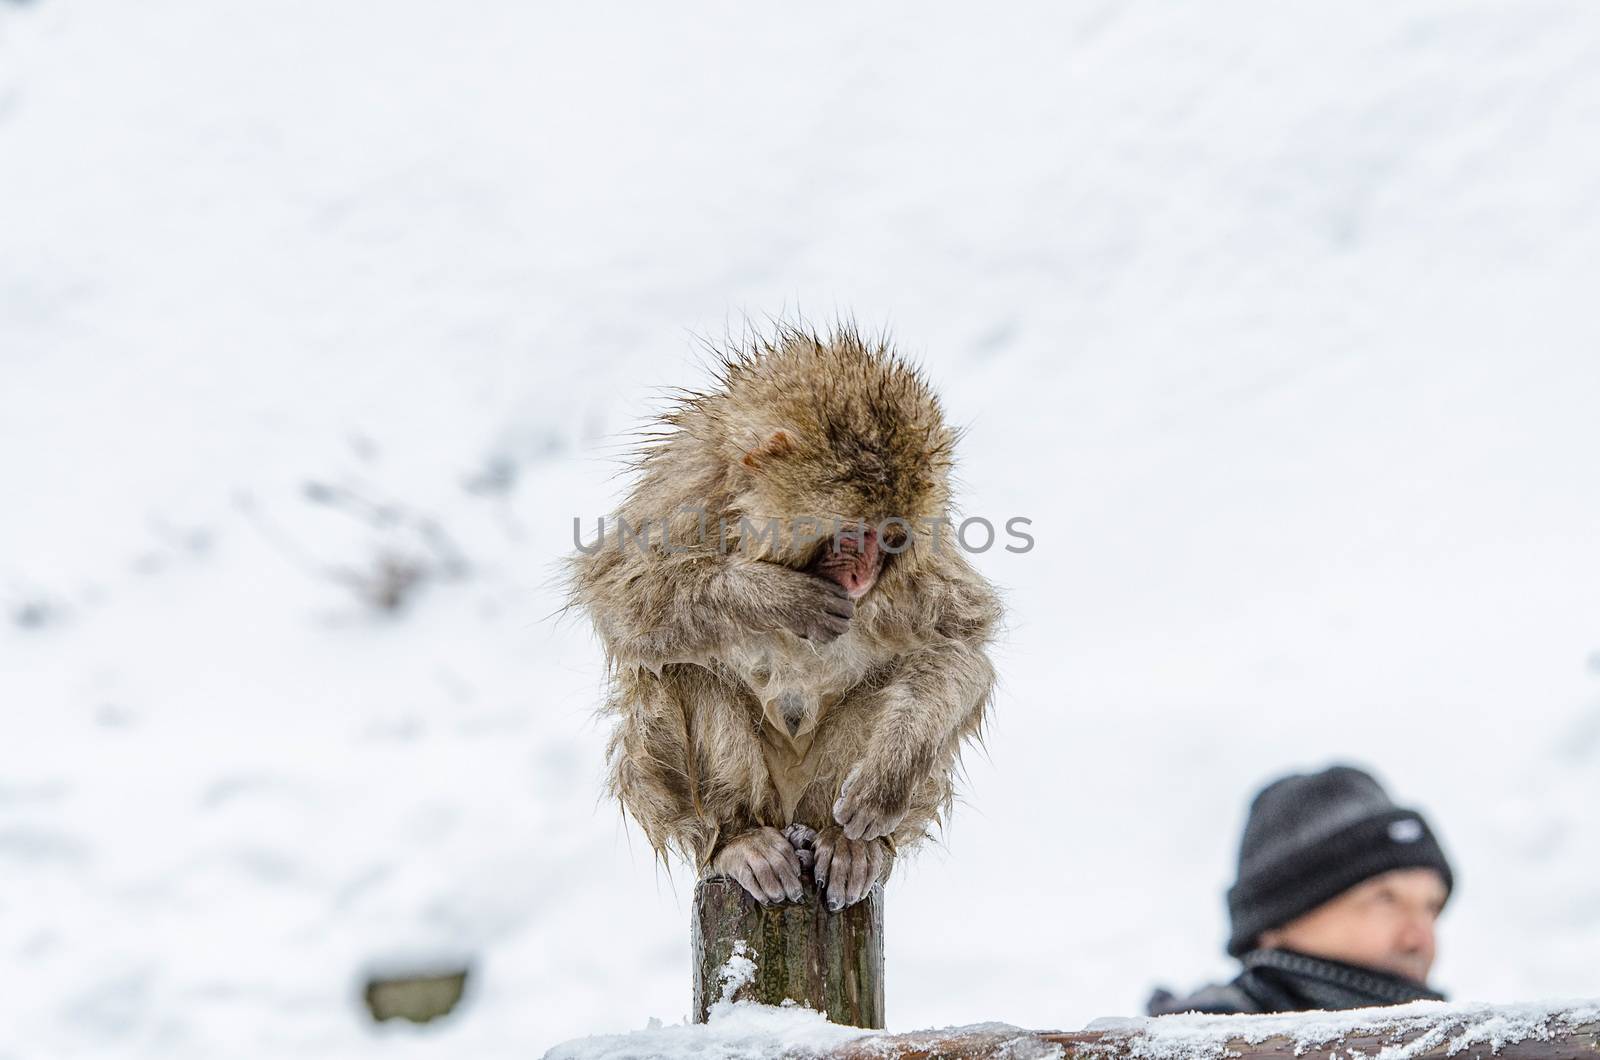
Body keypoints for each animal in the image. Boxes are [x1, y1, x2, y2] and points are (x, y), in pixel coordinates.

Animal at [572, 323, 998, 915]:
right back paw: (738, 838)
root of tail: (792, 813)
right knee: (680, 667)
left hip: (819, 793)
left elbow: (961, 645)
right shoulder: (688, 492)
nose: (863, 576)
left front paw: (889, 774)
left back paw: (847, 845)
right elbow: (621, 592)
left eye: (891, 538)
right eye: (854, 534)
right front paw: (776, 598)